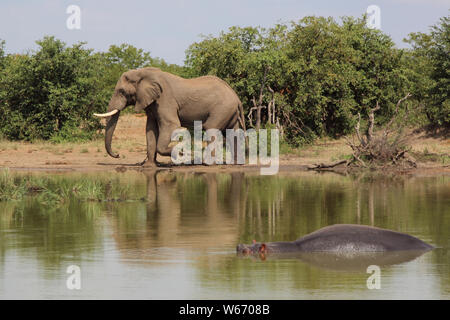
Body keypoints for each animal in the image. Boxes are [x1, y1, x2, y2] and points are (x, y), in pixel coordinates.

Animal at [92, 67, 244, 168]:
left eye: (122, 91)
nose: (118, 155)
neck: (143, 73)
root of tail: (236, 97)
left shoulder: (165, 99)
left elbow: (171, 125)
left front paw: (184, 154)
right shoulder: (152, 102)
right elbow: (150, 129)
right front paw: (149, 166)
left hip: (222, 108)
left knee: (211, 128)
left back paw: (207, 164)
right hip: (229, 111)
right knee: (232, 132)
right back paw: (235, 163)